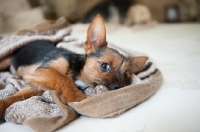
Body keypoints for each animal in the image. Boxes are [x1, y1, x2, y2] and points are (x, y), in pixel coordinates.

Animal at [0, 14, 147, 118]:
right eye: (104, 66)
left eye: (125, 75)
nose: (119, 87)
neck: (77, 73)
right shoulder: (43, 70)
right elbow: (64, 78)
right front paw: (76, 97)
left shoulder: (37, 85)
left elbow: (15, 98)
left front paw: (2, 105)